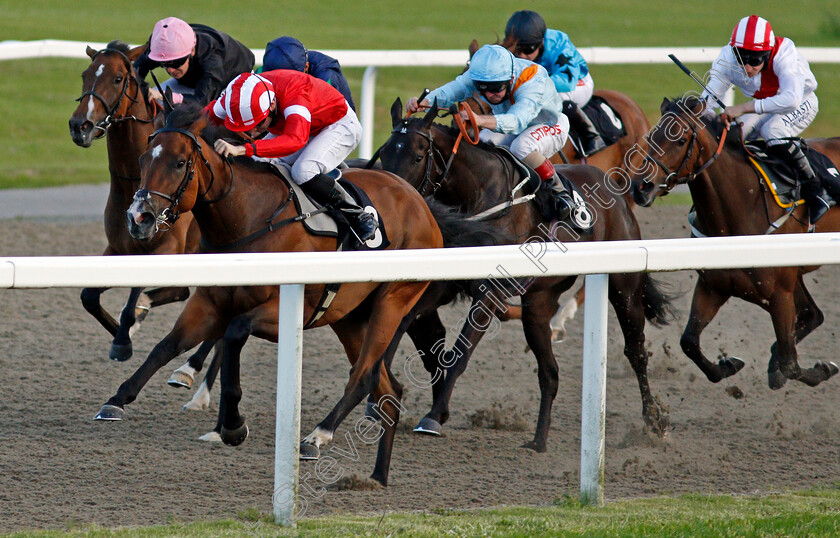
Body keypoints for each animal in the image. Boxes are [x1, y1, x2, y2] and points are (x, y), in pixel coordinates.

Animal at [67, 42, 205, 360]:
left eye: (118, 79)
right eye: (85, 75)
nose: (80, 126)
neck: (135, 179)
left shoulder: (167, 248)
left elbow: (134, 294)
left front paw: (124, 337)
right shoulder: (119, 248)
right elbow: (89, 296)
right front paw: (119, 331)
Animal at [94, 102, 496, 484]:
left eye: (179, 163)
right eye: (143, 160)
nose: (139, 218)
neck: (247, 218)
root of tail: (422, 204)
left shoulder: (290, 308)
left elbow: (234, 334)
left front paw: (233, 425)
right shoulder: (210, 303)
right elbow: (166, 346)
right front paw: (117, 399)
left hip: (392, 303)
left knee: (363, 376)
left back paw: (317, 436)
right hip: (349, 316)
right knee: (388, 391)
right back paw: (377, 478)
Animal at [376, 98, 676, 446]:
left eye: (417, 156)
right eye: (384, 153)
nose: (393, 197)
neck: (482, 196)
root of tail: (613, 191)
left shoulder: (490, 293)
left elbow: (459, 354)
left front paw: (434, 416)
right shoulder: (447, 284)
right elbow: (402, 323)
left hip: (624, 288)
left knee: (636, 350)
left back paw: (654, 420)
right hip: (539, 304)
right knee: (550, 371)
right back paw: (538, 440)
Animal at [632, 96, 840, 388]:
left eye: (680, 140)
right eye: (651, 136)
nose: (641, 187)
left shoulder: (780, 293)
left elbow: (790, 364)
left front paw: (819, 369)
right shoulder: (712, 287)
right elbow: (689, 342)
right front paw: (727, 365)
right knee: (813, 314)